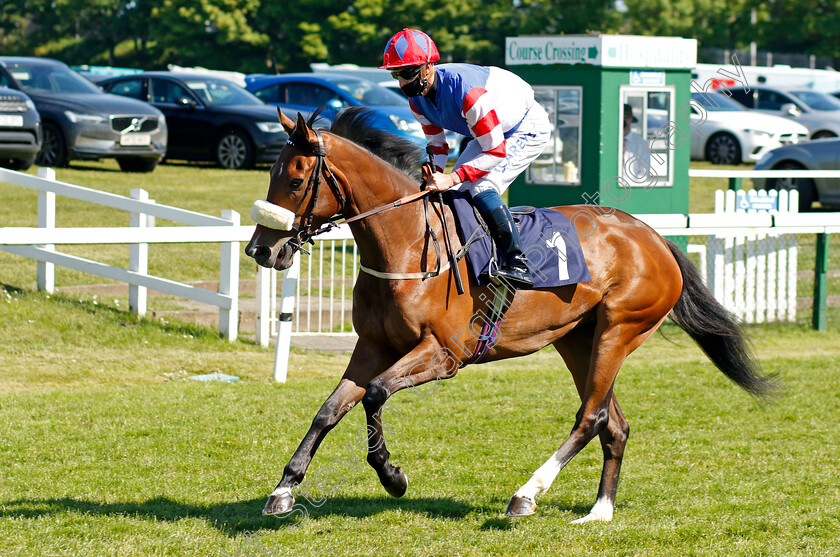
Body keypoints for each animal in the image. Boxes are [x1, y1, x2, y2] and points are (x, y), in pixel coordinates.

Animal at [243, 106, 776, 524]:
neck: (408, 242)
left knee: (592, 416)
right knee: (614, 423)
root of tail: (654, 236)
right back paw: (600, 510)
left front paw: (392, 476)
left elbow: (374, 394)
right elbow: (330, 409)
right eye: (269, 175)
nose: (260, 250)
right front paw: (284, 488)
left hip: (620, 330)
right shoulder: (373, 345)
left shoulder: (443, 354)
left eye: (295, 180)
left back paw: (527, 494)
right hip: (578, 340)